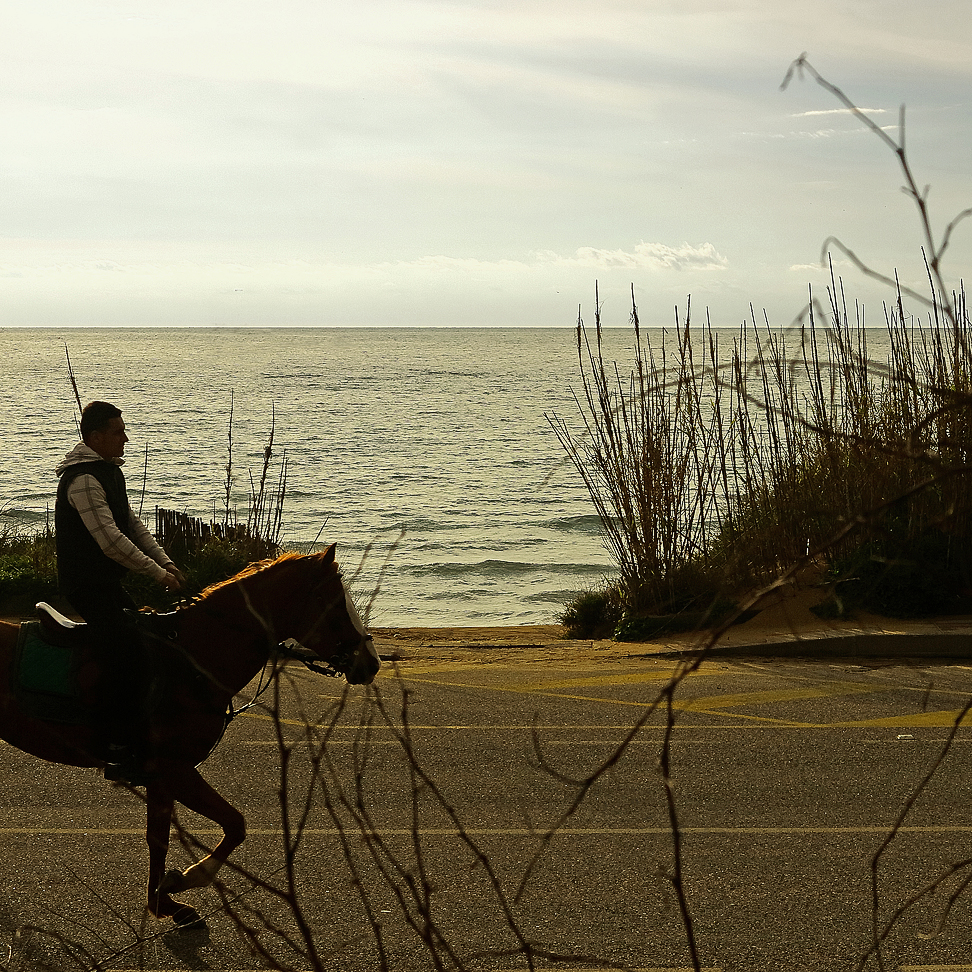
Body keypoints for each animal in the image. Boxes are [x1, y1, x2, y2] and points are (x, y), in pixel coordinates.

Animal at [0, 544, 380, 932]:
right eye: (334, 603)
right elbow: (235, 825)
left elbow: (160, 838)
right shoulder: (174, 769)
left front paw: (164, 901)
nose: (372, 663)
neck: (193, 659)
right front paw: (186, 879)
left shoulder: (161, 777)